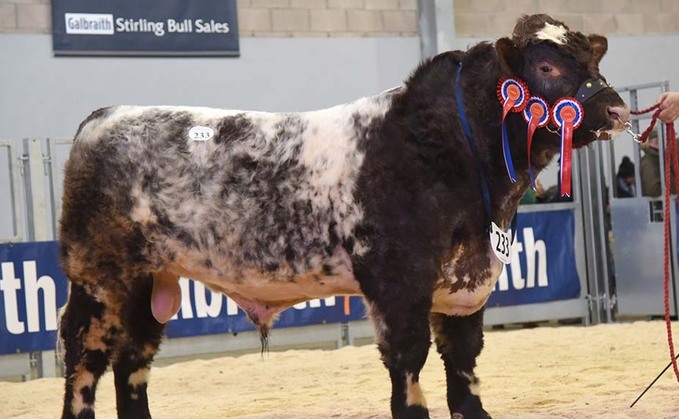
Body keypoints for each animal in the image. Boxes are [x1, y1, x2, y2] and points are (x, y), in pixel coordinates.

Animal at [59, 13, 632, 419]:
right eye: (547, 67)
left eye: (593, 63)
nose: (618, 109)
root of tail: (102, 117)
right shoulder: (397, 282)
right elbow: (409, 365)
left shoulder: (466, 285)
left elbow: (463, 367)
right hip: (99, 278)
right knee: (84, 357)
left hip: (149, 285)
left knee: (132, 362)